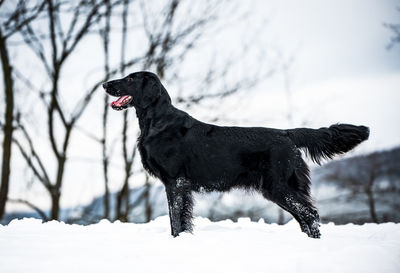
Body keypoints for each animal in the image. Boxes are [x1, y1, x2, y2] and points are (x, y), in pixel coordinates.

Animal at [103, 71, 368, 237]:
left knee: (310, 215)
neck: (157, 122)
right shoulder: (179, 185)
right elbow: (177, 220)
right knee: (305, 217)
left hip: (278, 186)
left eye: (130, 78)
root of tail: (286, 133)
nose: (105, 84)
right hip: (281, 187)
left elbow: (176, 220)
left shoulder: (175, 182)